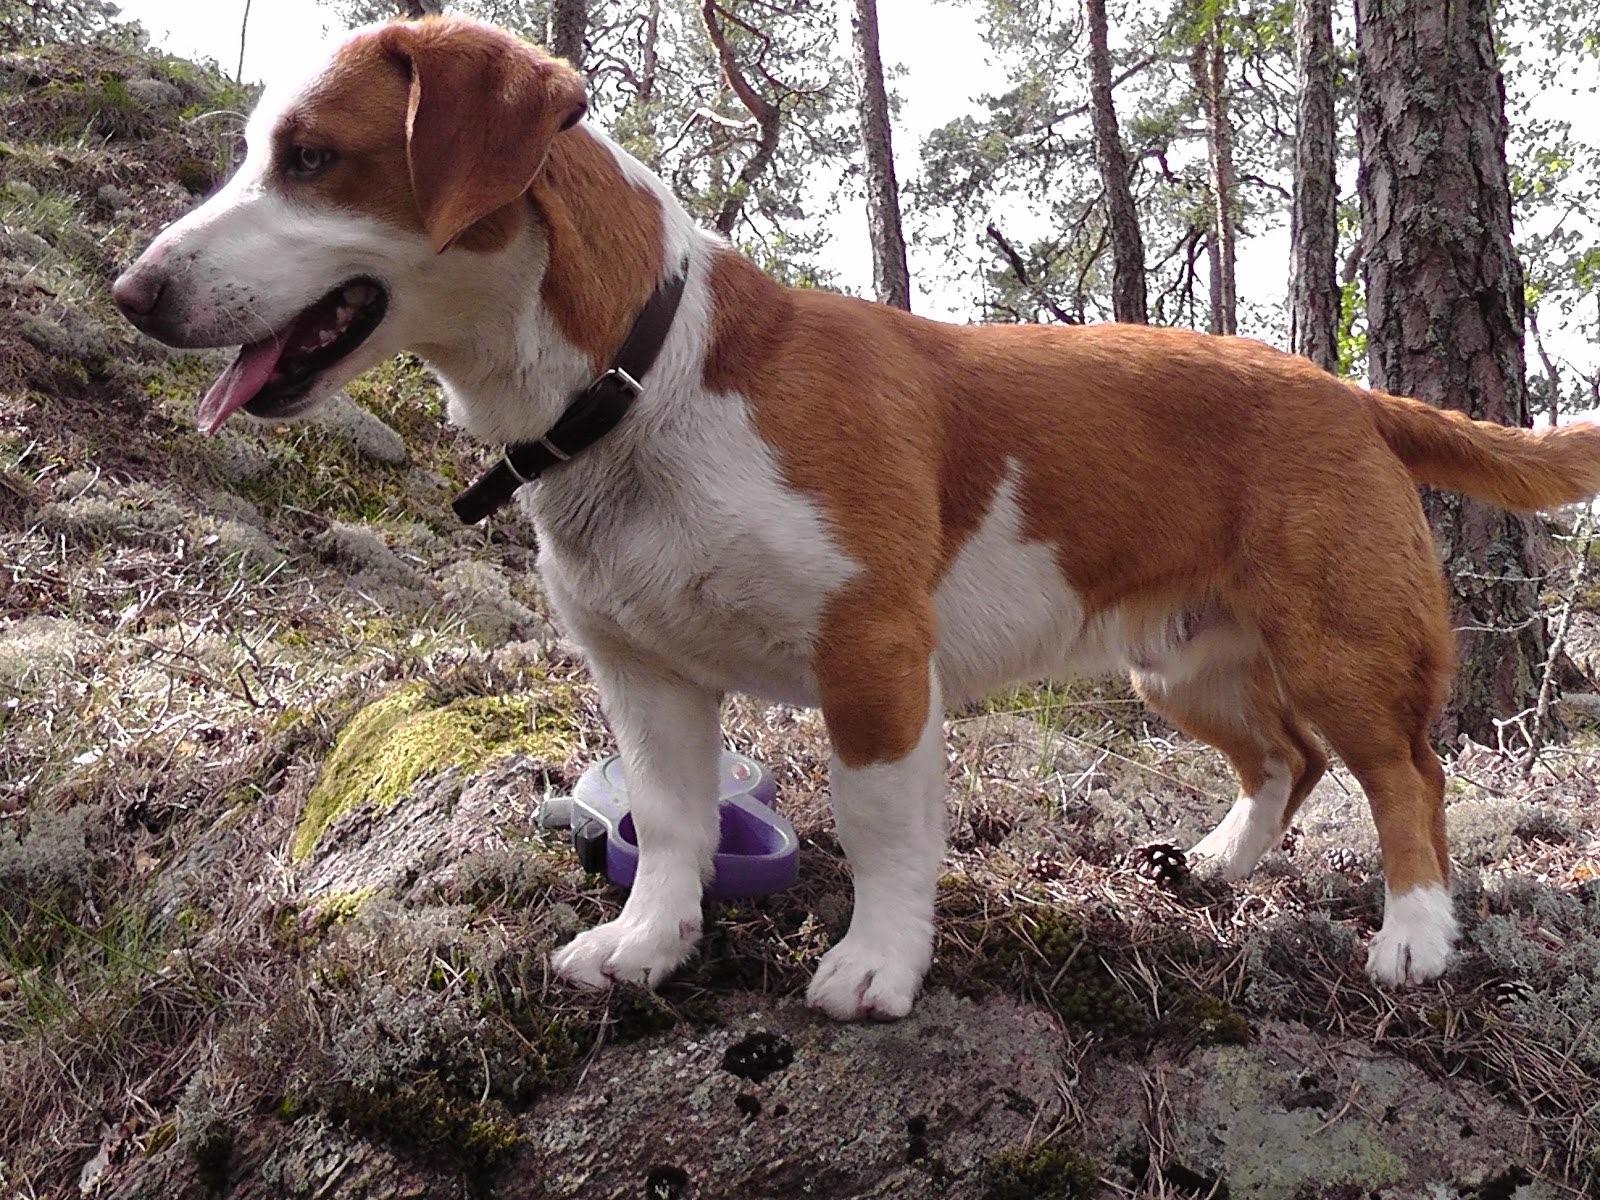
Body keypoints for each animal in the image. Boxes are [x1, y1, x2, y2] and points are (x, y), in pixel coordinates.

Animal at [118, 16, 1600, 1024]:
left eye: (315, 159)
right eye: (258, 154)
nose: (135, 293)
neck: (644, 381)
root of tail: (1349, 388)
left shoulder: (873, 660)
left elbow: (883, 831)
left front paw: (878, 966)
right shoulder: (642, 677)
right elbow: (672, 826)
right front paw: (650, 944)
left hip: (1341, 645)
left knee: (1404, 779)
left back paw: (1414, 936)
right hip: (1178, 663)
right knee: (1281, 763)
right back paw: (1224, 862)